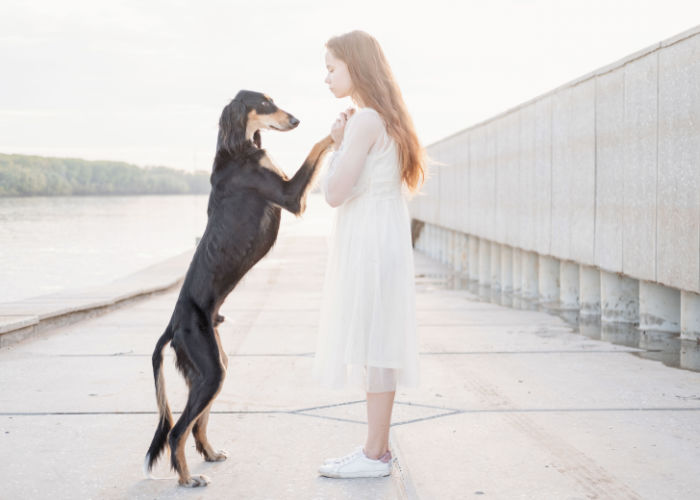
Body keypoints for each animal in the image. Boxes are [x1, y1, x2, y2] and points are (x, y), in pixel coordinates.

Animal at [142, 89, 334, 484]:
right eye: (264, 103)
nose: (295, 120)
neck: (237, 149)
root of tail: (173, 324)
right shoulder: (290, 194)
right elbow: (316, 147)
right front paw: (341, 124)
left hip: (212, 367)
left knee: (196, 425)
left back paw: (210, 453)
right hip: (210, 369)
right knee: (176, 431)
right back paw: (187, 479)